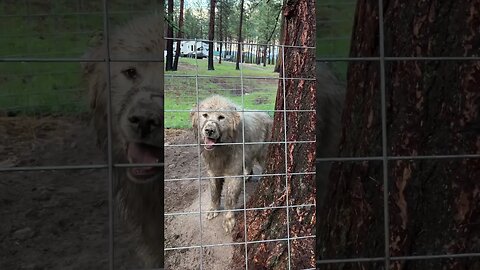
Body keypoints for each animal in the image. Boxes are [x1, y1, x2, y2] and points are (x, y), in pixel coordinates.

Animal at [191, 94, 274, 232]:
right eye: (205, 115)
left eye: (221, 117)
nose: (209, 130)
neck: (221, 149)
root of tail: (267, 115)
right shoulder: (213, 171)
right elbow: (214, 193)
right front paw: (213, 209)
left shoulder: (233, 174)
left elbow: (229, 199)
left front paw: (228, 220)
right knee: (249, 163)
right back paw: (246, 175)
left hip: (263, 154)